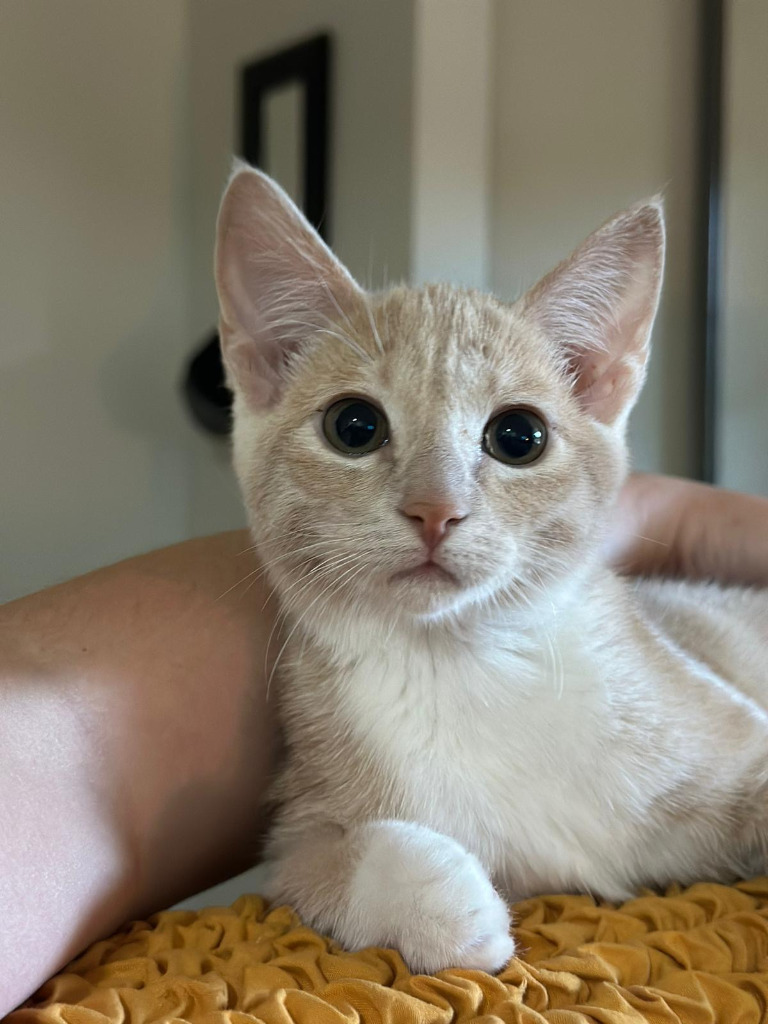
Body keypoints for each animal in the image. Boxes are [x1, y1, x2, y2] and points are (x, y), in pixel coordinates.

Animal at [211, 163, 768, 970]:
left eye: (518, 436)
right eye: (354, 426)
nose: (435, 510)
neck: (468, 663)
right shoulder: (295, 831)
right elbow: (329, 860)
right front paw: (443, 905)